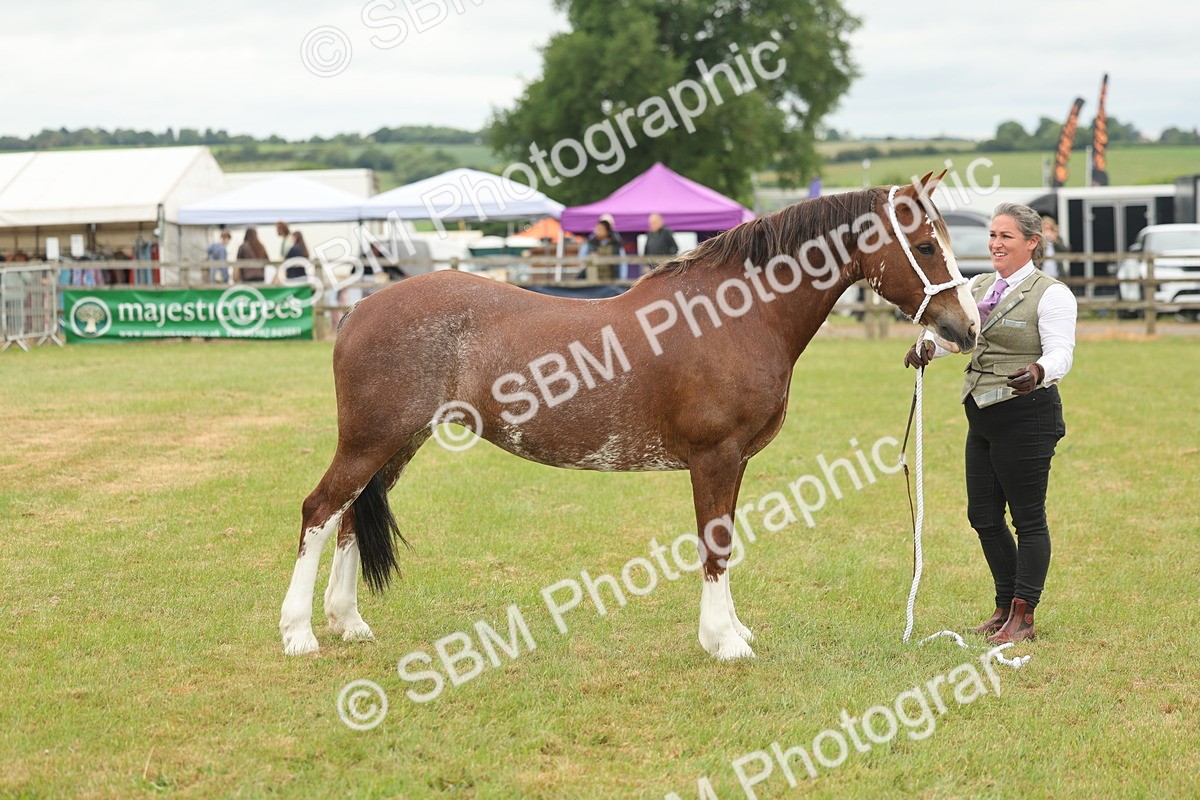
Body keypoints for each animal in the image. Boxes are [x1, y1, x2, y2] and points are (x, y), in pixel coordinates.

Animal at [279, 172, 980, 660]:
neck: (737, 315)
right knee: (320, 511)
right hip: (371, 441)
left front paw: (731, 630)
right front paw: (725, 642)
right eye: (924, 245)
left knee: (348, 518)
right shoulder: (715, 456)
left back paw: (349, 624)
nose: (965, 328)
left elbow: (726, 540)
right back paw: (299, 633)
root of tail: (360, 308)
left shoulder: (734, 462)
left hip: (399, 443)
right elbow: (715, 543)